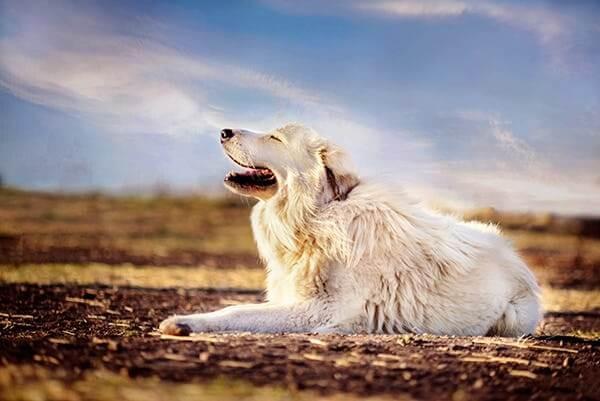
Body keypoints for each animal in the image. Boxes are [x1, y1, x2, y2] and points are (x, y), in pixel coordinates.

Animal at [158, 123, 540, 336]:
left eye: (275, 137)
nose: (223, 131)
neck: (317, 216)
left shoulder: (321, 310)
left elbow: (237, 311)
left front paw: (185, 323)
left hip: (512, 316)